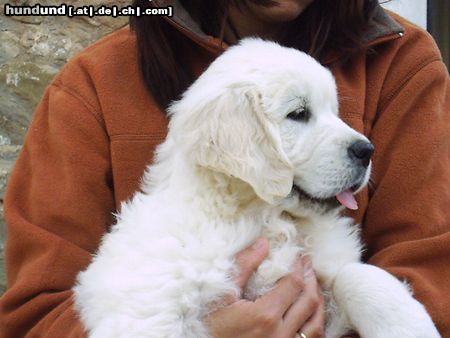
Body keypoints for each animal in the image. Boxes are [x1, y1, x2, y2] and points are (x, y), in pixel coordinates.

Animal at [73, 38, 440, 338]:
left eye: (333, 112)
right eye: (299, 113)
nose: (367, 151)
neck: (264, 217)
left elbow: (358, 275)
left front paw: (410, 327)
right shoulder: (146, 300)